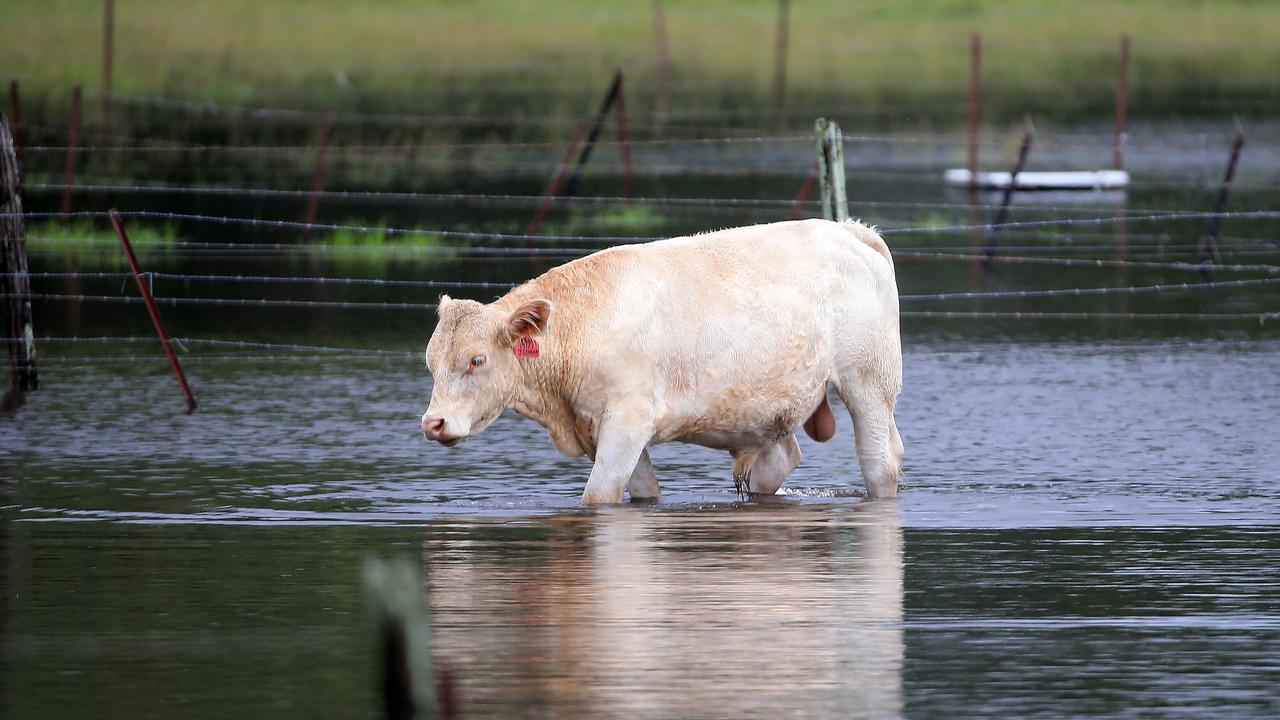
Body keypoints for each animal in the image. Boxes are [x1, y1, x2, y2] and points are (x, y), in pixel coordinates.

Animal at [419, 215, 901, 502]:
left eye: (476, 360)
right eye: (431, 362)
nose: (433, 423)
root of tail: (848, 230)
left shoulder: (629, 420)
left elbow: (598, 494)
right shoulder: (600, 428)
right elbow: (643, 490)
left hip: (869, 384)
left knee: (880, 463)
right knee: (781, 459)